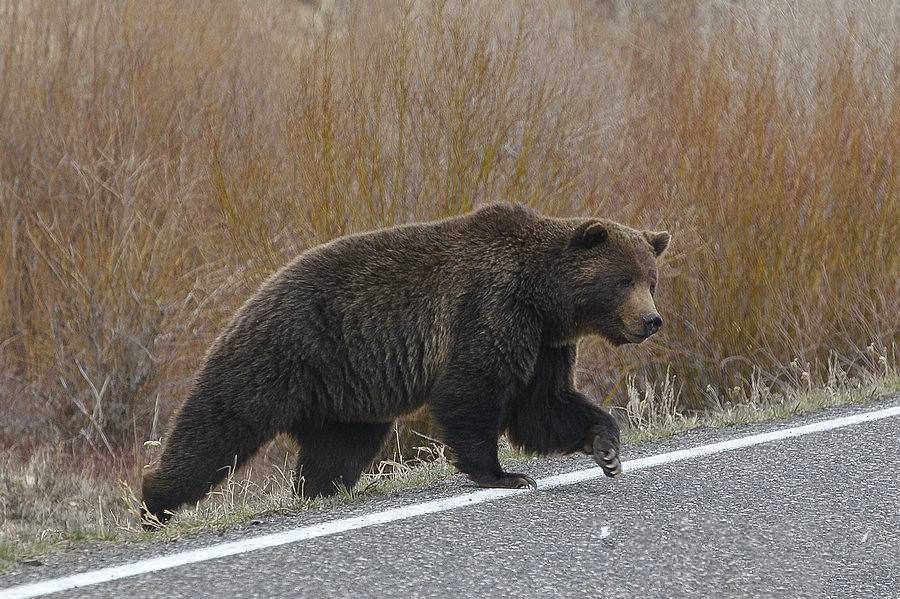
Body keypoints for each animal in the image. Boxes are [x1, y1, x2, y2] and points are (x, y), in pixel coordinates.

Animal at [142, 204, 668, 528]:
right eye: (623, 280)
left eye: (650, 279)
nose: (651, 320)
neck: (544, 300)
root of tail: (253, 293)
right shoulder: (492, 310)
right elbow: (471, 391)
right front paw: (505, 475)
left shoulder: (543, 344)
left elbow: (542, 405)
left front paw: (607, 448)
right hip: (281, 353)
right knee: (217, 426)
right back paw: (155, 502)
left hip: (345, 397)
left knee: (337, 450)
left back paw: (319, 491)